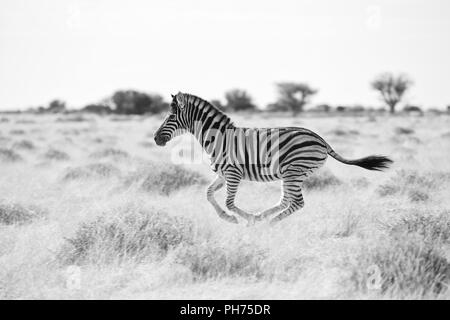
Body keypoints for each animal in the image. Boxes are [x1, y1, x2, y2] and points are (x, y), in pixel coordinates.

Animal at [153, 91, 392, 224]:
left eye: (171, 117)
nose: (155, 138)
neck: (219, 137)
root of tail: (322, 140)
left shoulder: (233, 173)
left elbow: (229, 202)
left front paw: (244, 219)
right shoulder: (222, 174)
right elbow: (208, 194)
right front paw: (229, 219)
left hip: (293, 171)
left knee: (297, 203)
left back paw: (266, 223)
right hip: (293, 174)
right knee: (286, 200)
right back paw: (263, 217)